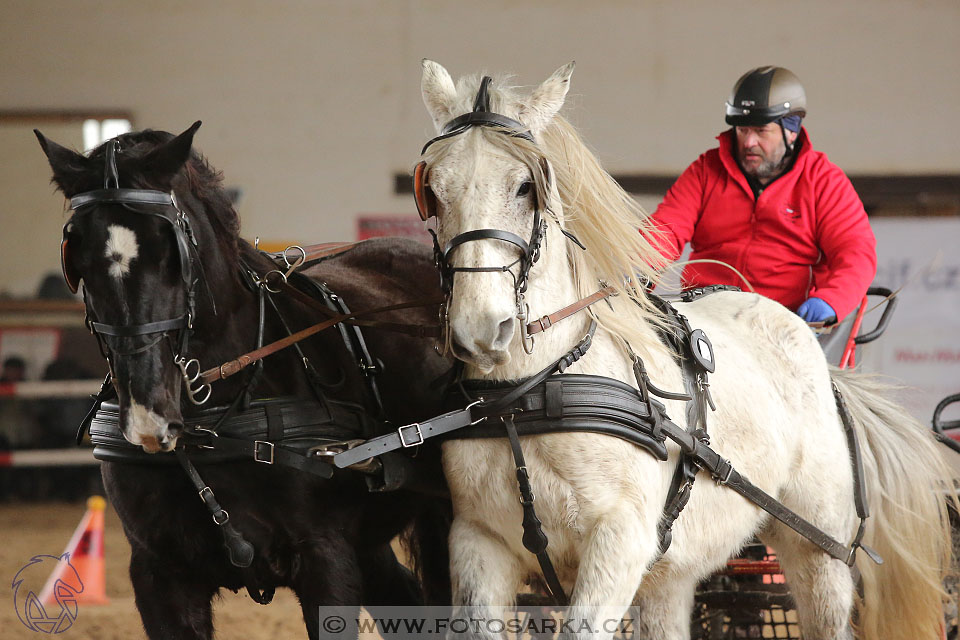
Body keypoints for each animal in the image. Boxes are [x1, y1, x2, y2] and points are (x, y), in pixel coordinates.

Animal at [420, 57, 960, 636]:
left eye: (525, 186)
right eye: (434, 190)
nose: (482, 327)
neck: (531, 394)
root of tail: (824, 367)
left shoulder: (619, 541)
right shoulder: (478, 540)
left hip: (821, 550)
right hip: (671, 575)